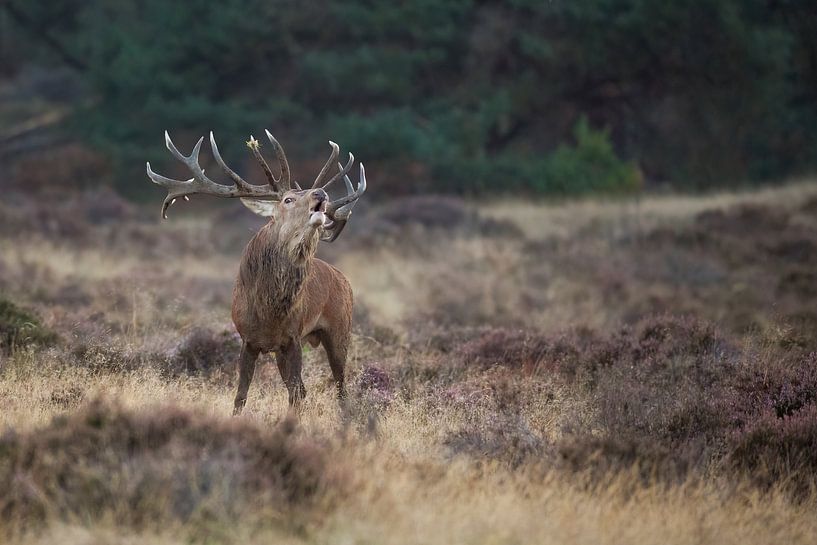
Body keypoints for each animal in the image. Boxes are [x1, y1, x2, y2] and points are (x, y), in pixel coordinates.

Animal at [146, 130, 366, 413]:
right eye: (288, 199)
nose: (321, 194)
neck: (268, 312)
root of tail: (342, 278)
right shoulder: (247, 339)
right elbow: (241, 394)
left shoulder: (293, 337)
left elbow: (294, 394)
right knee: (305, 389)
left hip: (340, 330)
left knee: (339, 386)